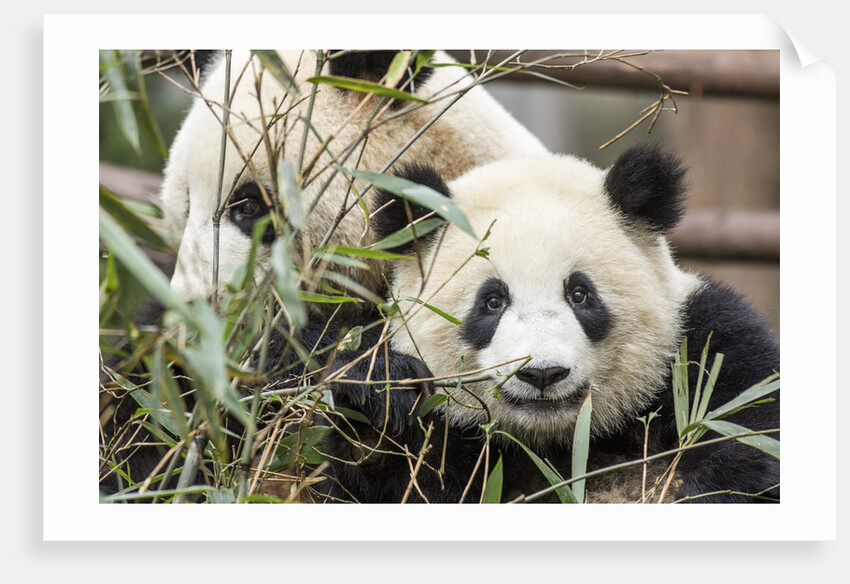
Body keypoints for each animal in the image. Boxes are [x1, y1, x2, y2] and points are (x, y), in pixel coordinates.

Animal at [305, 144, 780, 504]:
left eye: (580, 295)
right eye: (492, 302)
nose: (542, 373)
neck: (558, 441)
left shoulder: (705, 348)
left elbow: (750, 436)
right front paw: (375, 401)